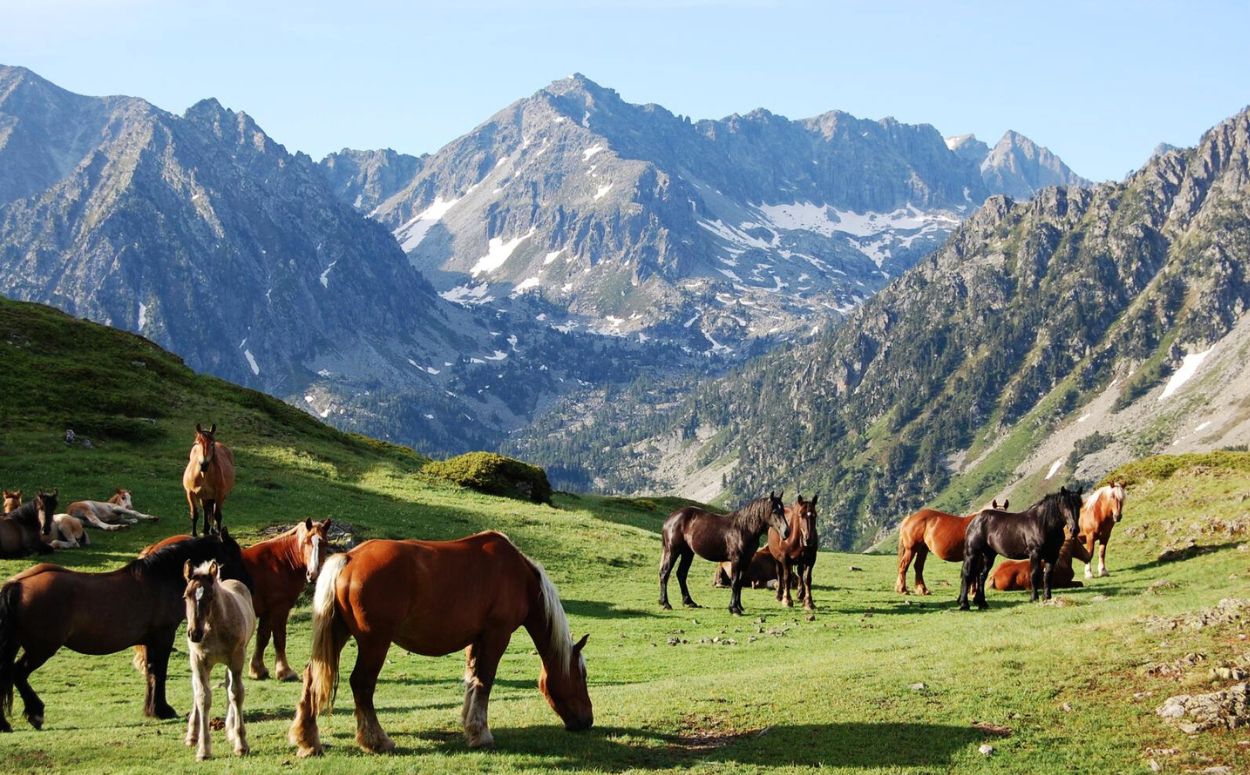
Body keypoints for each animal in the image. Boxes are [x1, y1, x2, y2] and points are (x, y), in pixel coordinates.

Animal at [0, 530, 251, 730]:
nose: (246, 586)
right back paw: (35, 713)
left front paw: (152, 709)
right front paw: (162, 709)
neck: (159, 578)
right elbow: (159, 672)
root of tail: (17, 584)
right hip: (41, 649)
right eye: (233, 556)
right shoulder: (163, 636)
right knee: (18, 673)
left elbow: (151, 672)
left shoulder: (150, 641)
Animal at [182, 560, 256, 760]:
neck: (213, 627)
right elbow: (202, 697)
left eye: (210, 596)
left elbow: (236, 693)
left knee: (229, 684)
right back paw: (192, 736)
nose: (195, 634)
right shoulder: (198, 661)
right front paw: (203, 750)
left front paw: (241, 744)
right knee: (197, 688)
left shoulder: (236, 659)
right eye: (186, 596)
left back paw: (230, 728)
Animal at [290, 532, 592, 755]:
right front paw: (481, 734)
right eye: (582, 675)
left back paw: (308, 739)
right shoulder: (497, 635)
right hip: (375, 642)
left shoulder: (476, 639)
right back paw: (376, 740)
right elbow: (485, 681)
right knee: (362, 684)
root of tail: (349, 557)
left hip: (338, 633)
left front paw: (470, 727)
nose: (587, 721)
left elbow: (472, 681)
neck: (519, 576)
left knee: (311, 677)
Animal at [955, 490, 1085, 612]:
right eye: (1065, 506)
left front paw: (1047, 597)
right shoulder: (1035, 554)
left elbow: (1048, 576)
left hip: (988, 556)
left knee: (982, 576)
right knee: (967, 575)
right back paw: (964, 605)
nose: (1074, 530)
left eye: (1079, 505)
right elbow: (1034, 574)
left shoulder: (1052, 555)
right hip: (972, 554)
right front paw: (1033, 598)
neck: (1042, 523)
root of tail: (975, 520)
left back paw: (982, 603)